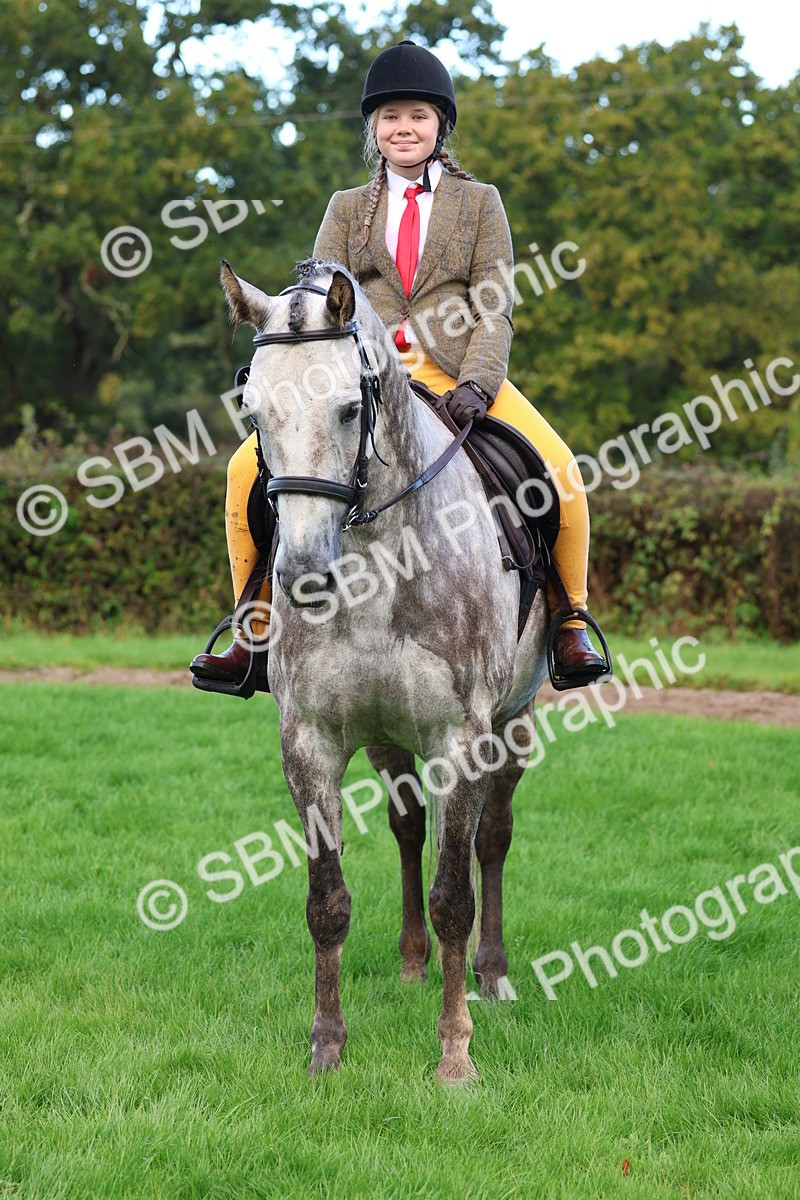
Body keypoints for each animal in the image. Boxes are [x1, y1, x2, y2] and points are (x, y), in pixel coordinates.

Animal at [222, 257, 549, 1084]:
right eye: (254, 413)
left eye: (347, 409)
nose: (303, 571)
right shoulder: (310, 742)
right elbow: (327, 901)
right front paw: (326, 1046)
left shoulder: (461, 739)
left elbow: (456, 894)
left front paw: (456, 1056)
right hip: (384, 737)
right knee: (407, 827)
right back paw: (411, 964)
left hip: (515, 722)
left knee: (492, 838)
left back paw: (491, 975)